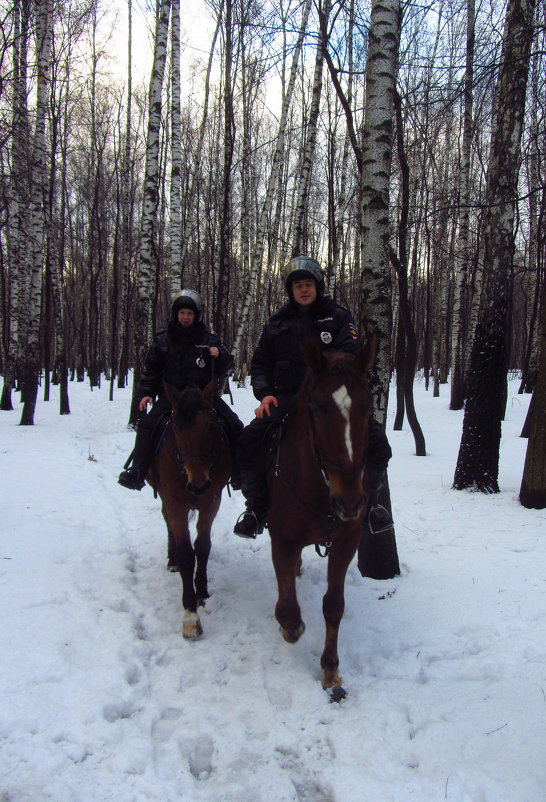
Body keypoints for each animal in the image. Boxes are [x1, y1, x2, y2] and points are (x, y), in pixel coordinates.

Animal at [147, 382, 230, 636]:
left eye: (210, 426)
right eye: (176, 428)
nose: (198, 484)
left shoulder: (211, 500)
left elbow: (202, 546)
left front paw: (201, 591)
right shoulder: (176, 503)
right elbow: (186, 553)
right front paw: (190, 616)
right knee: (167, 523)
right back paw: (171, 559)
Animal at [266, 334, 376, 696]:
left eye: (368, 407)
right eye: (317, 408)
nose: (350, 502)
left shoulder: (346, 541)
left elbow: (334, 605)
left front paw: (330, 670)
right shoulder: (281, 537)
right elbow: (289, 613)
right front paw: (290, 628)